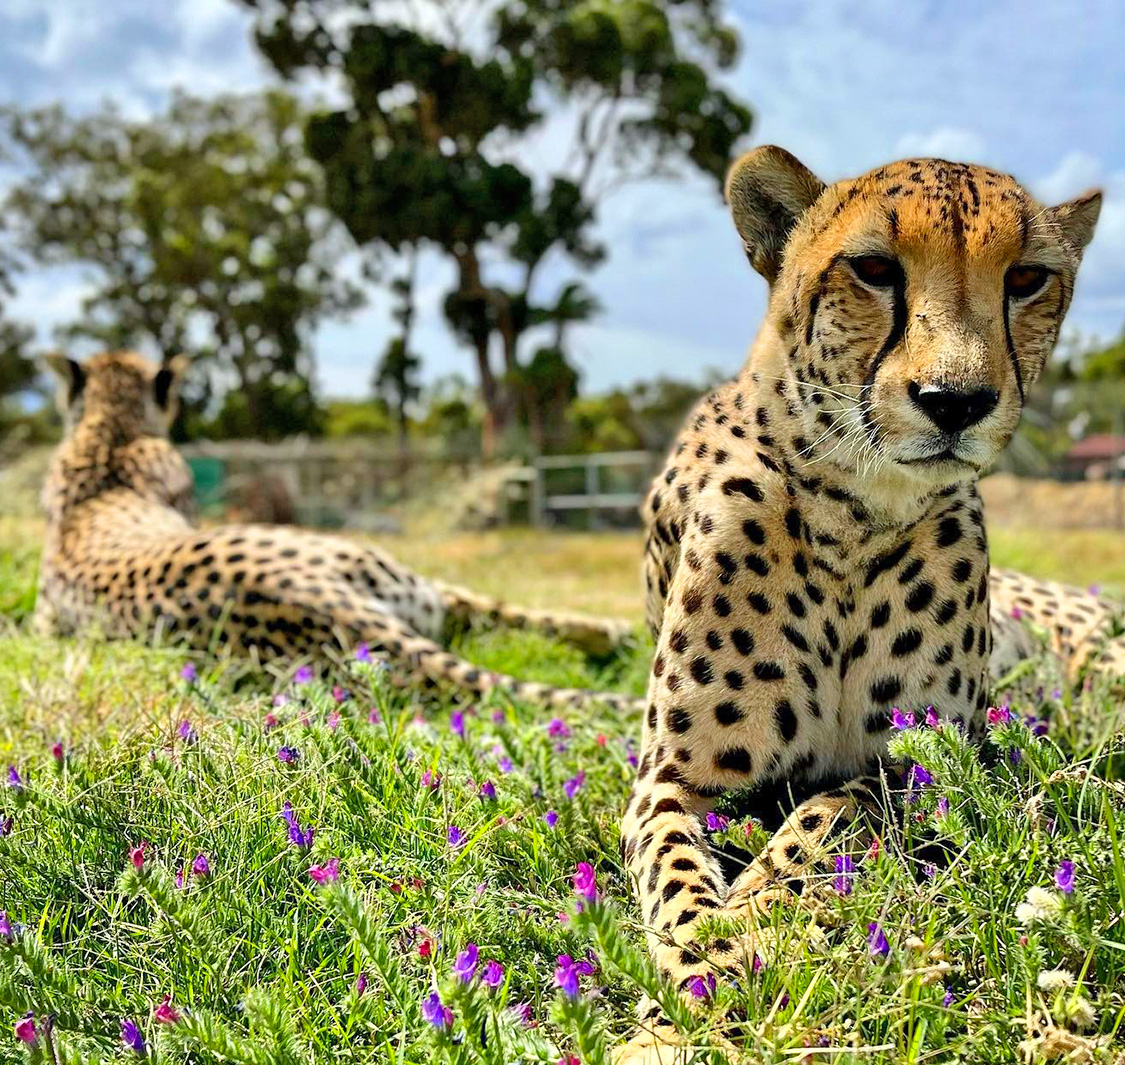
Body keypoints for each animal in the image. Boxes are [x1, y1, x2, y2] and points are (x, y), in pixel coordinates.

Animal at [616, 146, 1120, 1062]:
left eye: (1026, 278)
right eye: (874, 269)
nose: (955, 401)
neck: (851, 512)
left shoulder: (927, 760)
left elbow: (830, 816)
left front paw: (753, 915)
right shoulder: (670, 778)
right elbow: (675, 870)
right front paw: (698, 965)